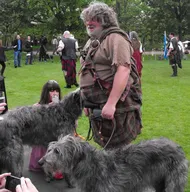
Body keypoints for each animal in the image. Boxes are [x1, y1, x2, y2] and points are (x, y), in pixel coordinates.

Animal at [39, 135, 189, 192]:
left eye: (57, 151)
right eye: (50, 149)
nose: (40, 162)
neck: (93, 167)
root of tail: (178, 147)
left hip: (173, 183)